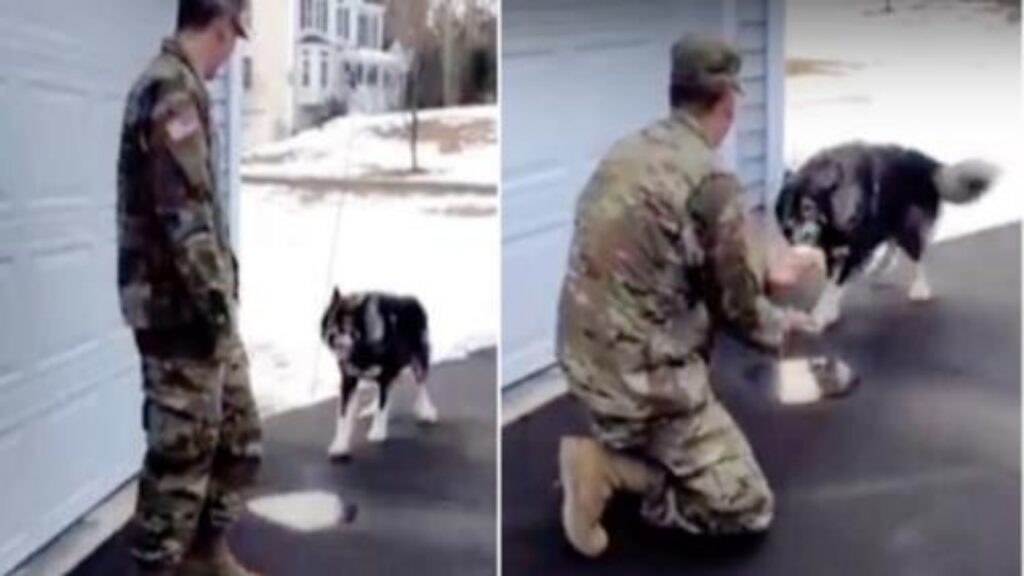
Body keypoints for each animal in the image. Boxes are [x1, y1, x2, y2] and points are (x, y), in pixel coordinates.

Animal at [317, 286, 434, 457]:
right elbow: (343, 416)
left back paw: (426, 410)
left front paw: (377, 431)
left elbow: (382, 406)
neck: (361, 347)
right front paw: (340, 445)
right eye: (329, 321)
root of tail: (414, 299)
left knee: (421, 386)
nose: (330, 336)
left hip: (419, 360)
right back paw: (372, 408)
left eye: (346, 323)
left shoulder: (385, 376)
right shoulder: (348, 381)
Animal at [778, 141, 995, 330]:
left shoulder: (854, 248)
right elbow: (830, 281)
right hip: (890, 221)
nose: (788, 231)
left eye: (807, 208)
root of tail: (928, 163)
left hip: (907, 226)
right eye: (784, 208)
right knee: (893, 243)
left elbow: (834, 285)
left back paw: (920, 288)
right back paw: (882, 267)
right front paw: (826, 311)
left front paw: (823, 315)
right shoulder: (834, 248)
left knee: (917, 255)